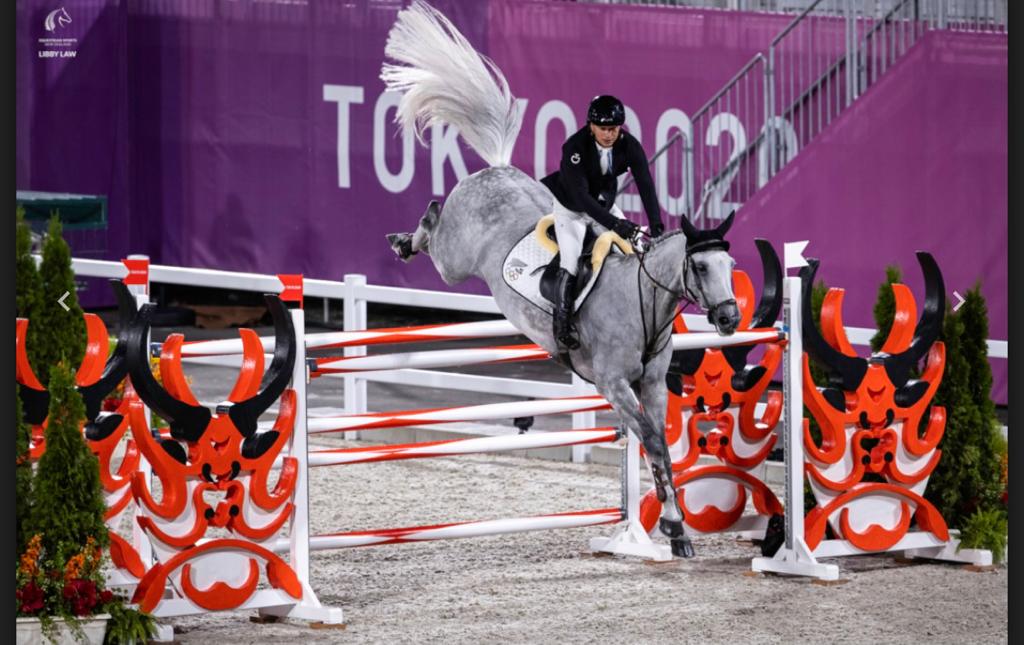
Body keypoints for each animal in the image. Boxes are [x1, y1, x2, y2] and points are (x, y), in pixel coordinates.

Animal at [381, 0, 741, 557]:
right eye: (701, 267)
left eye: (731, 266)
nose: (728, 318)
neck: (643, 302)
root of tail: (496, 169)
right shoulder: (614, 383)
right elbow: (651, 440)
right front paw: (675, 528)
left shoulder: (652, 384)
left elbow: (660, 442)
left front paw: (674, 530)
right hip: (455, 260)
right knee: (434, 232)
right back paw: (405, 236)